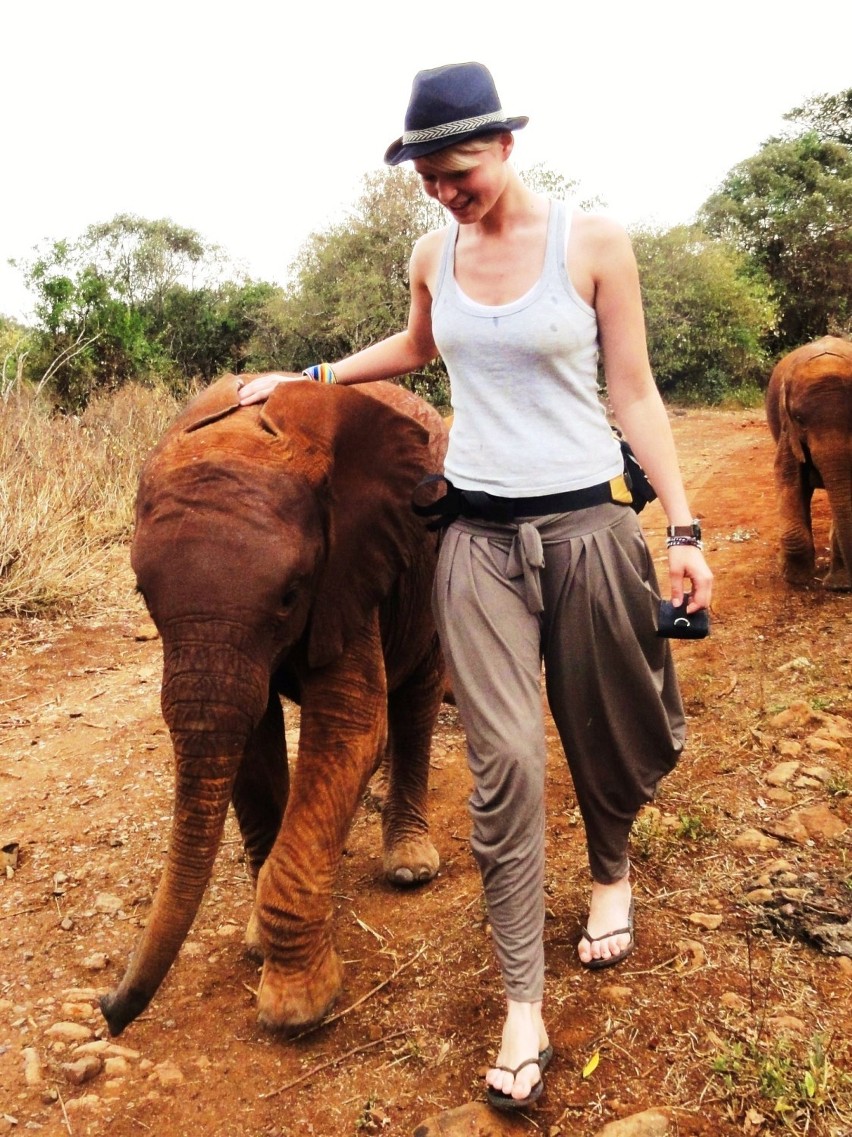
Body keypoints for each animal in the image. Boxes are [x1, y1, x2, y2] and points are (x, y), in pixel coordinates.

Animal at [764, 334, 850, 586]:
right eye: (799, 419)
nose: (838, 587)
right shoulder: (788, 429)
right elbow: (788, 478)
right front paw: (796, 580)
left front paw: (838, 585)